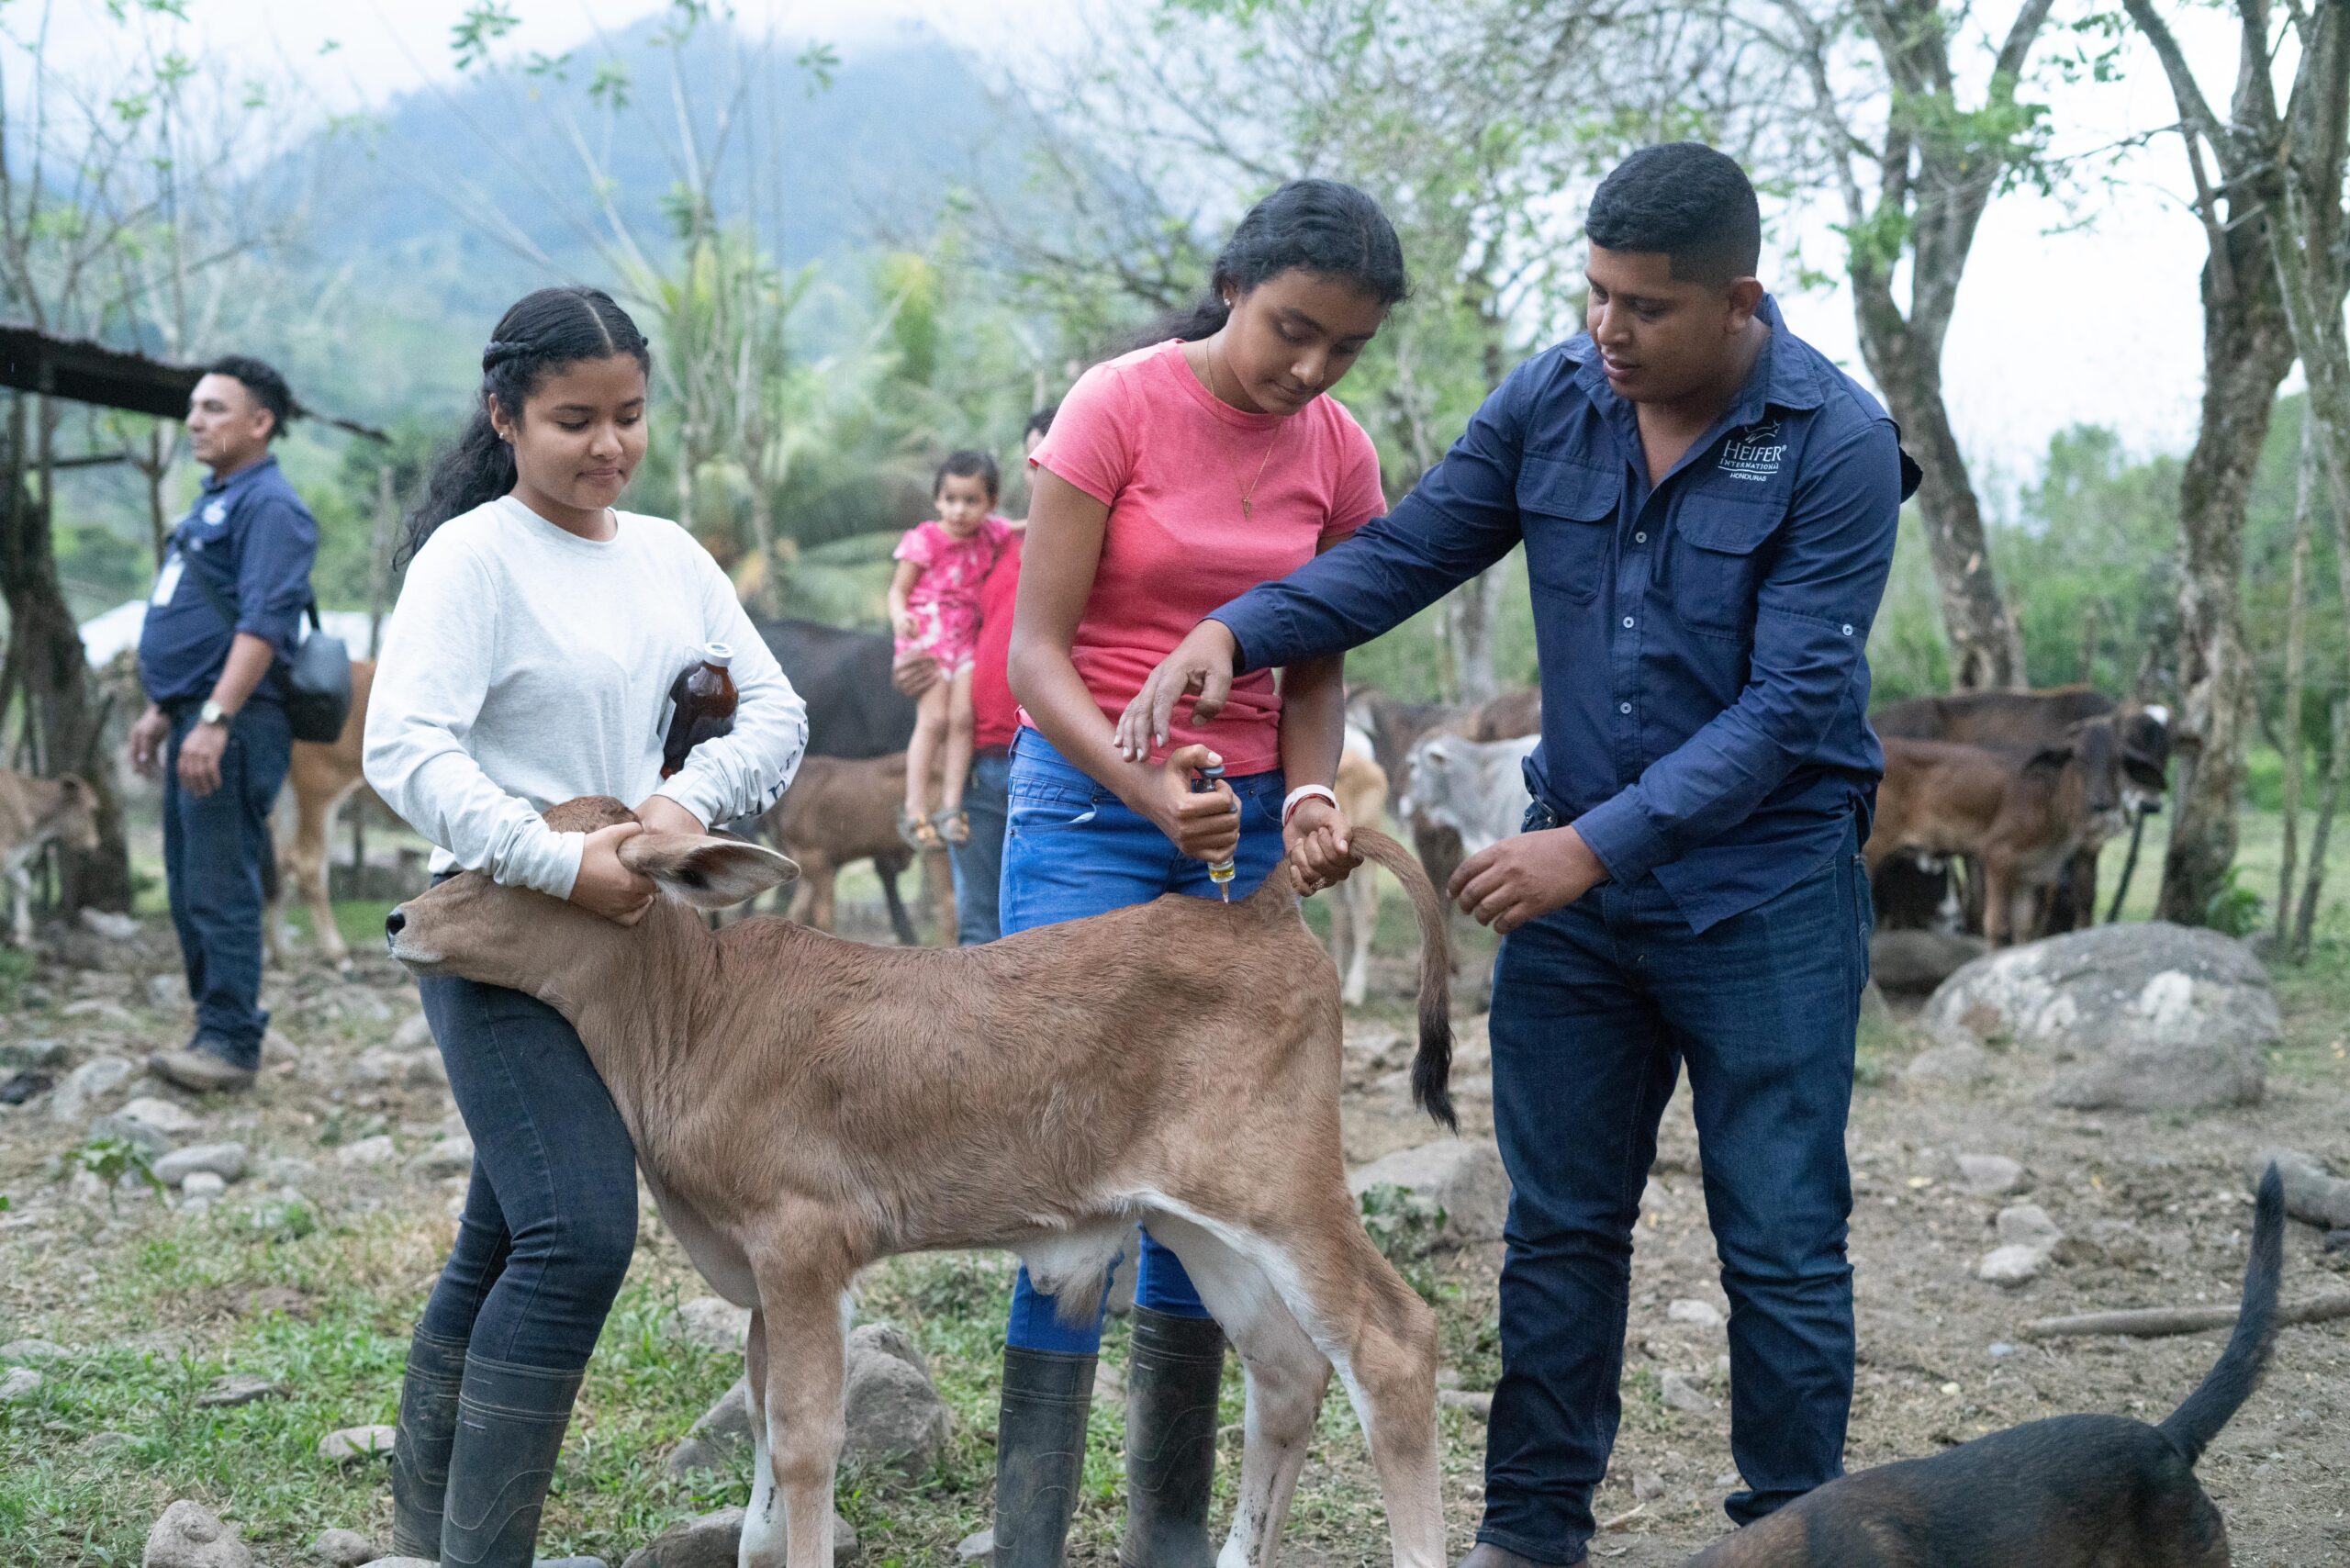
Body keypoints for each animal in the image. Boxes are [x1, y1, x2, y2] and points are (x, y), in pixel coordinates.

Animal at [385, 803, 1447, 1568]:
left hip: (1285, 1190)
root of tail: (1262, 905)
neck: (693, 1017)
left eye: (517, 866)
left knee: (1391, 1345)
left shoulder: (801, 1242)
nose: (399, 917)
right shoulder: (763, 1273)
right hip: (1198, 1223)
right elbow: (761, 1447)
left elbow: (806, 1438)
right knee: (1286, 1368)